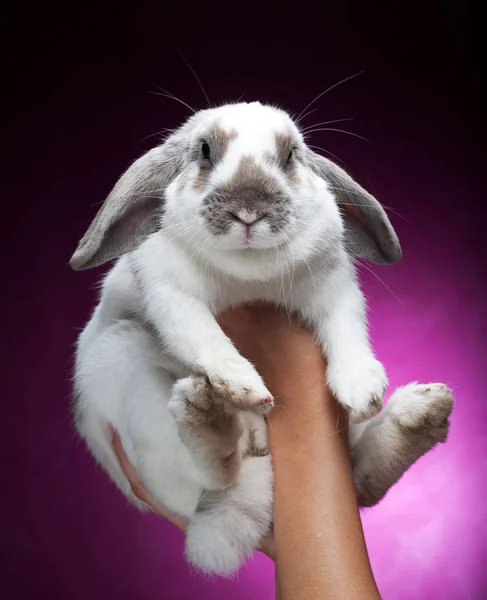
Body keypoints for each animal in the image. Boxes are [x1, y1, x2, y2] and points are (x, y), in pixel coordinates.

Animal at [70, 102, 456, 576]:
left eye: (290, 155)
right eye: (204, 150)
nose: (249, 210)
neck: (249, 273)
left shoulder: (335, 286)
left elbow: (347, 330)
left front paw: (362, 389)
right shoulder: (169, 292)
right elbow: (204, 337)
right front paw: (245, 388)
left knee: (360, 480)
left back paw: (418, 416)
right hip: (125, 370)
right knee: (213, 473)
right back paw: (209, 417)